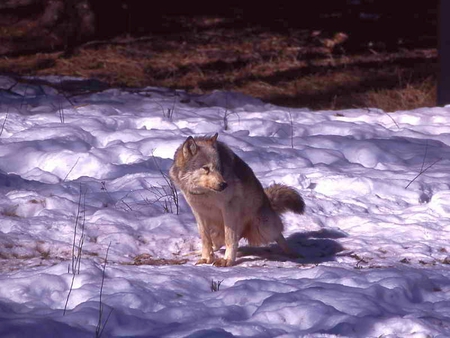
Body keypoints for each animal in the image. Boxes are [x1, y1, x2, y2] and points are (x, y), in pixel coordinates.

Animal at [170, 133, 306, 266]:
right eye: (206, 168)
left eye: (219, 168)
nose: (224, 185)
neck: (205, 193)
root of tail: (268, 202)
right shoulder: (198, 211)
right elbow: (205, 239)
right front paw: (206, 258)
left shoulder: (229, 207)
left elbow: (230, 238)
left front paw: (228, 260)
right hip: (217, 230)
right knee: (217, 244)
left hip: (262, 227)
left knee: (278, 234)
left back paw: (293, 253)